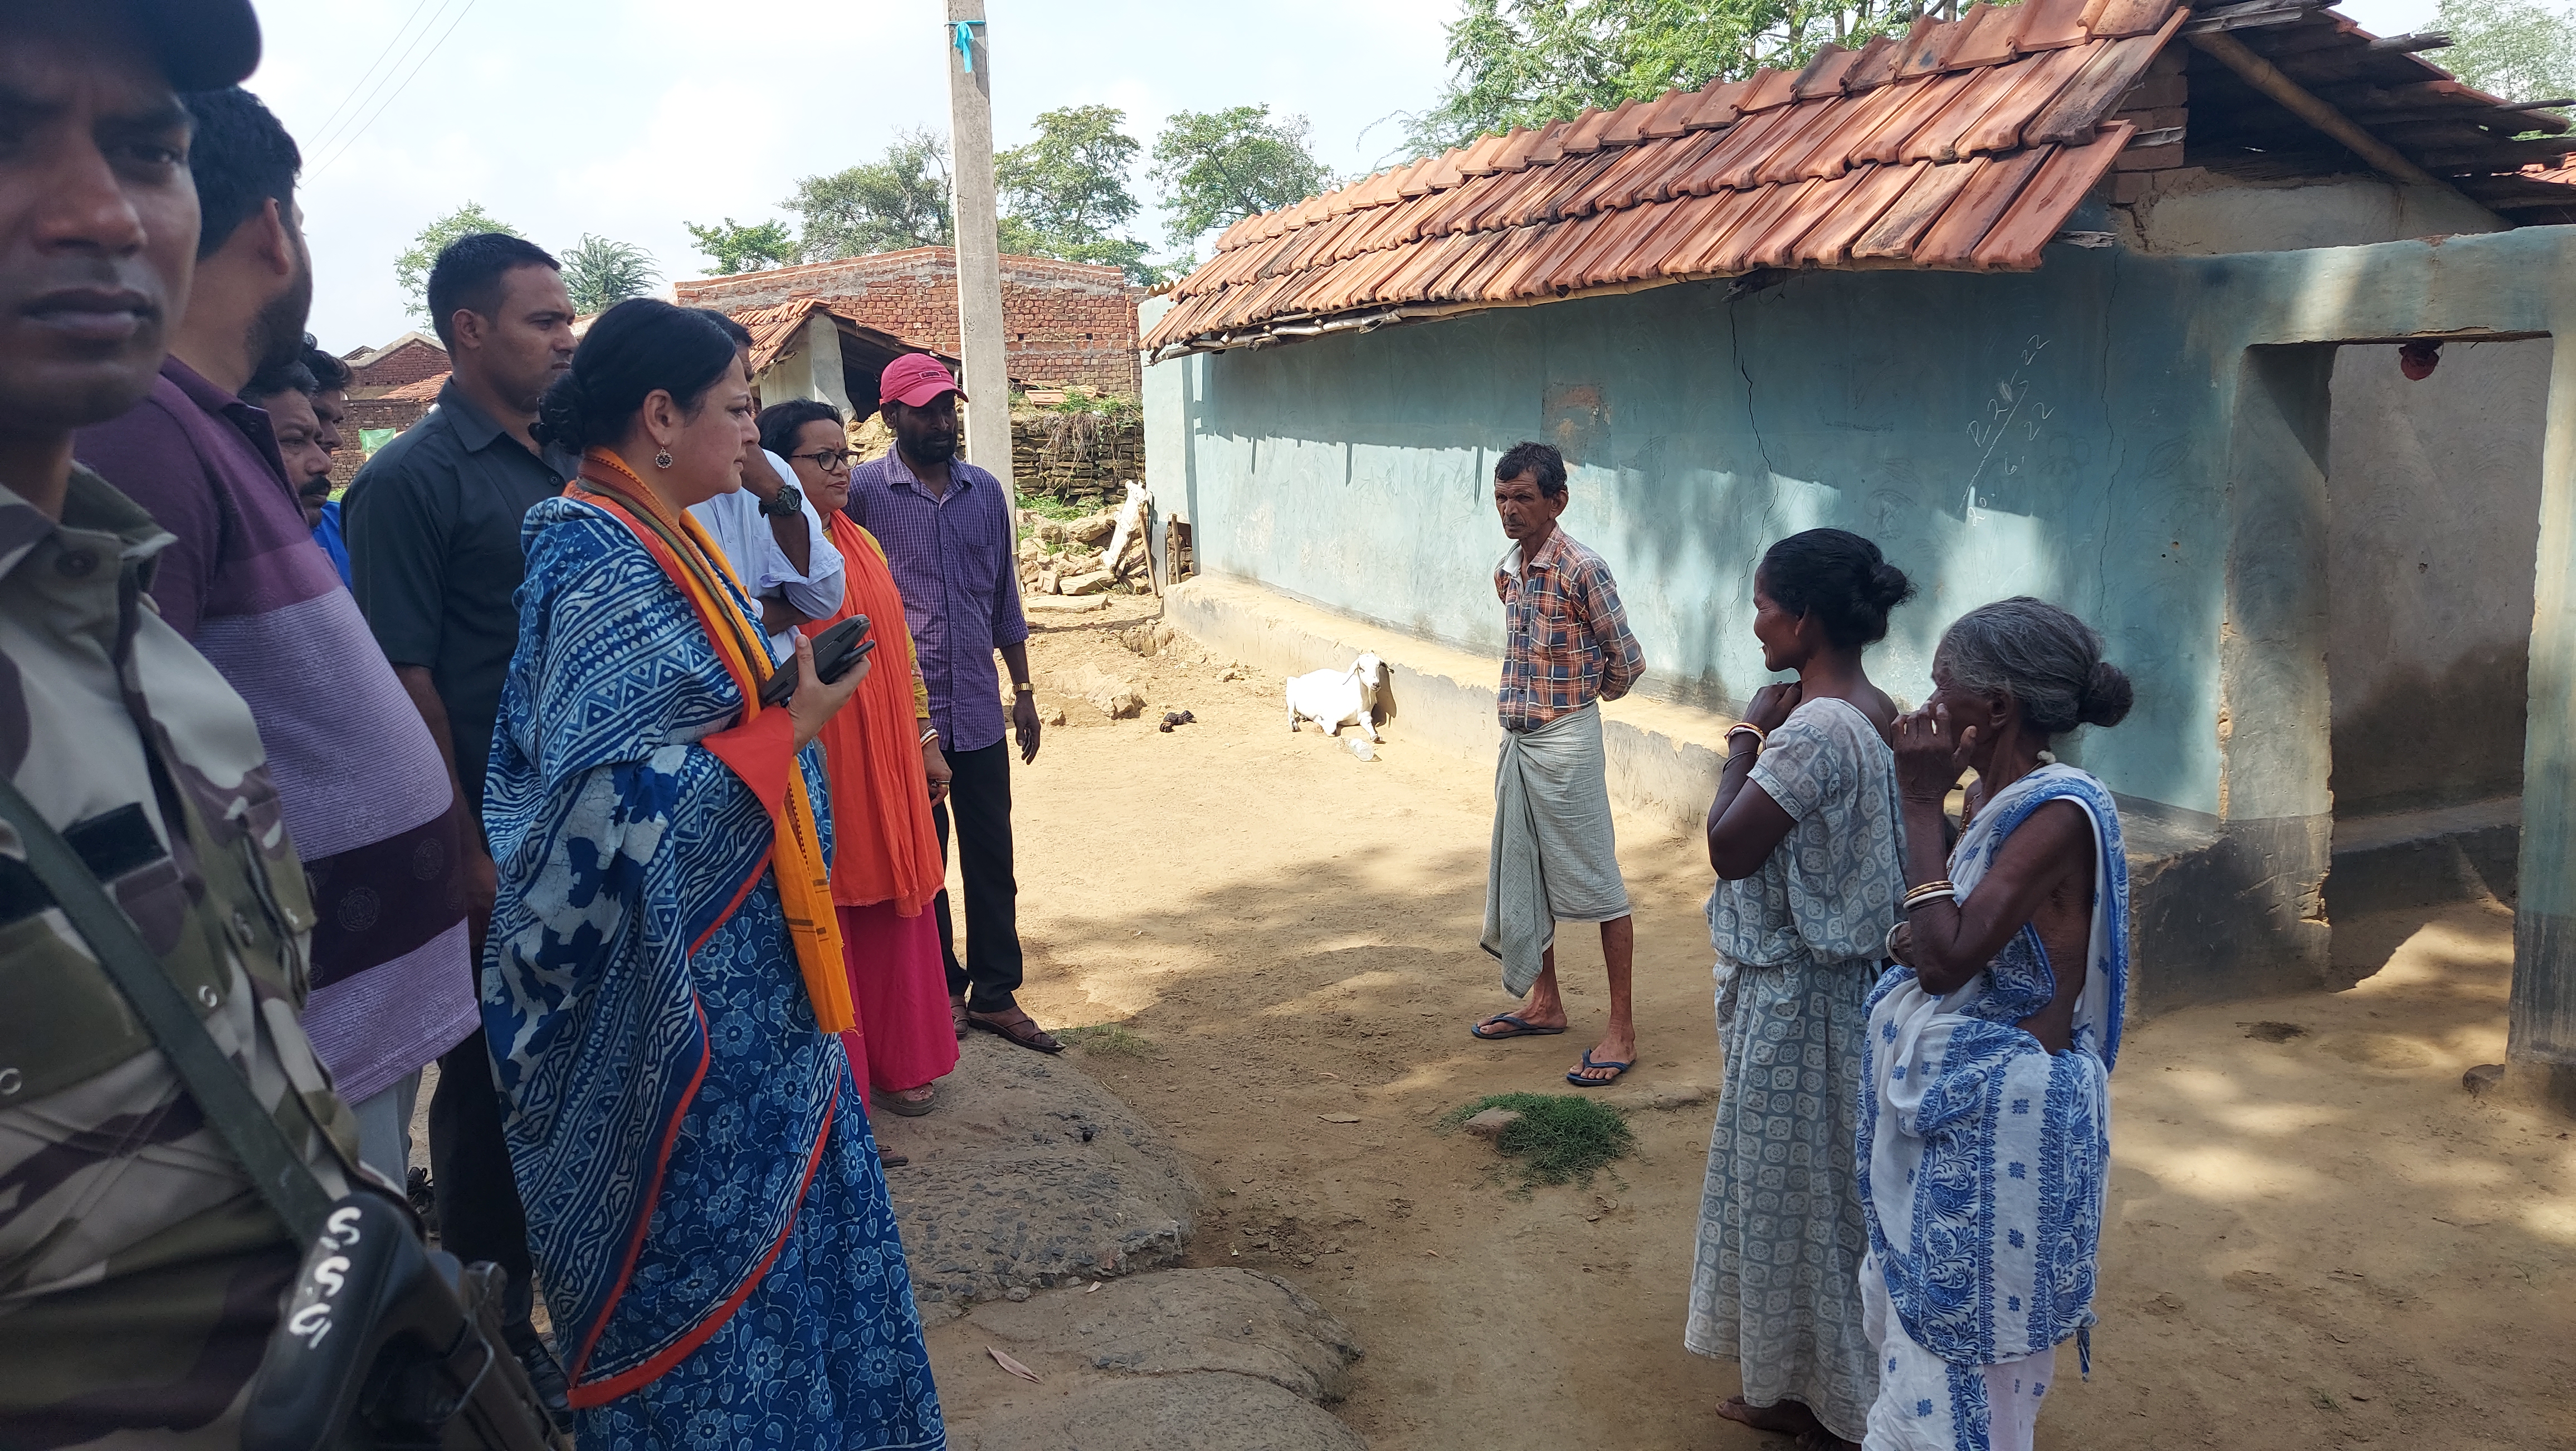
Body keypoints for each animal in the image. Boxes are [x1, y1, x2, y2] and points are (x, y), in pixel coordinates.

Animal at [1288, 660, 1391, 747]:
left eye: (1378, 666)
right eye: (1361, 668)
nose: (1376, 684)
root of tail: (1303, 677)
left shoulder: (1365, 717)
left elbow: (1370, 727)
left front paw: (1376, 737)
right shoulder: (1330, 716)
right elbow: (1332, 732)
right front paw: (1317, 718)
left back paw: (1303, 717)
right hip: (1291, 687)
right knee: (1291, 711)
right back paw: (1295, 726)